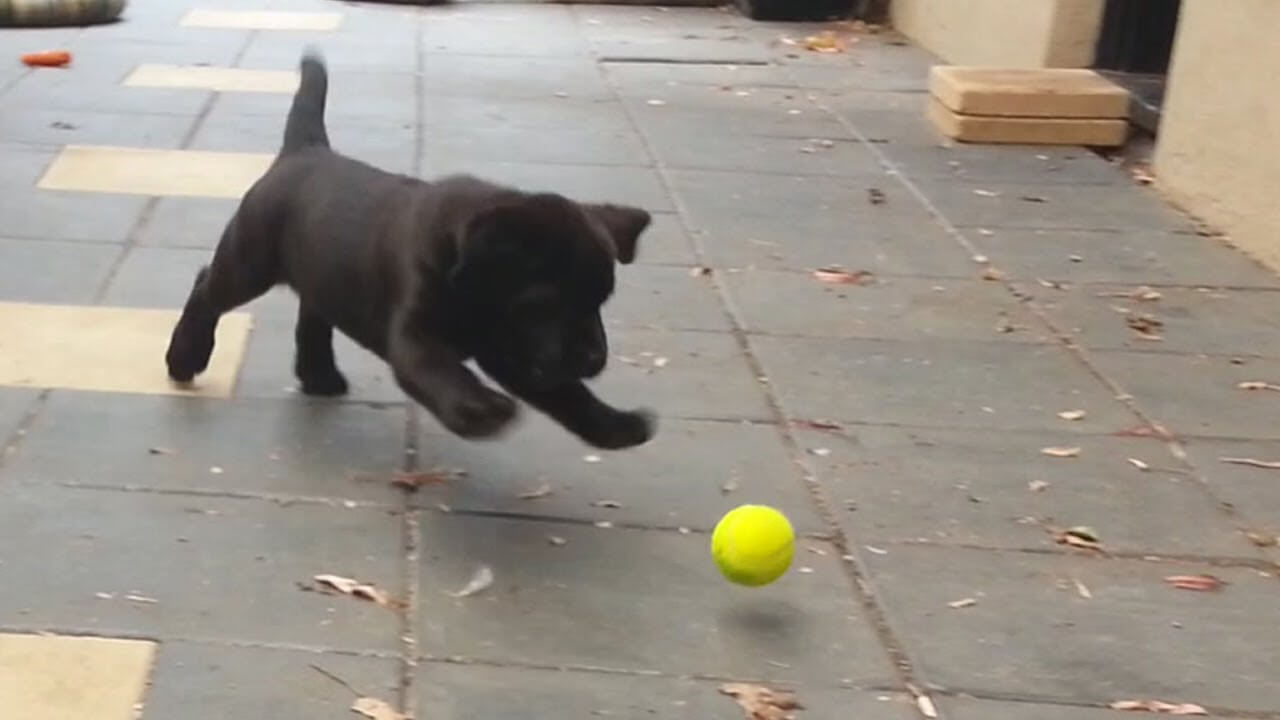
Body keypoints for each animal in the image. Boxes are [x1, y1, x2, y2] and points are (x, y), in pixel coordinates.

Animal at [165, 49, 655, 448]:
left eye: (600, 300)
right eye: (547, 302)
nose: (594, 358)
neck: (467, 278)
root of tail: (304, 150)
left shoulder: (514, 349)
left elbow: (569, 396)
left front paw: (615, 425)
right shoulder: (416, 337)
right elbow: (443, 372)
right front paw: (480, 409)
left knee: (314, 309)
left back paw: (319, 374)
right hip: (250, 261)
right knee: (207, 287)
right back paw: (185, 356)